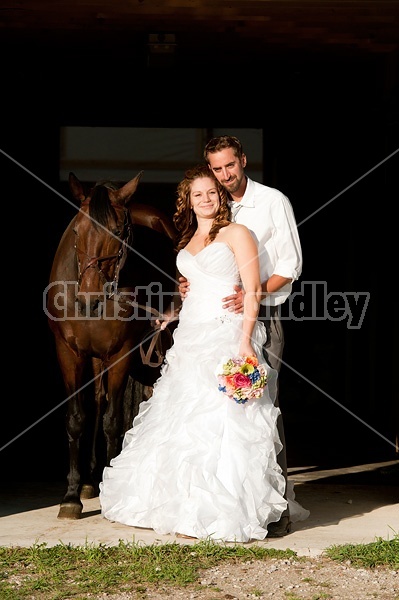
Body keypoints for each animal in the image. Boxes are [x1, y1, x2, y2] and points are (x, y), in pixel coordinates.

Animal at [46, 171, 177, 516]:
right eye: (77, 229)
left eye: (118, 232)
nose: (88, 299)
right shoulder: (69, 354)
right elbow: (77, 419)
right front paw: (71, 495)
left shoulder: (121, 354)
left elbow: (112, 422)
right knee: (98, 400)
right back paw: (90, 480)